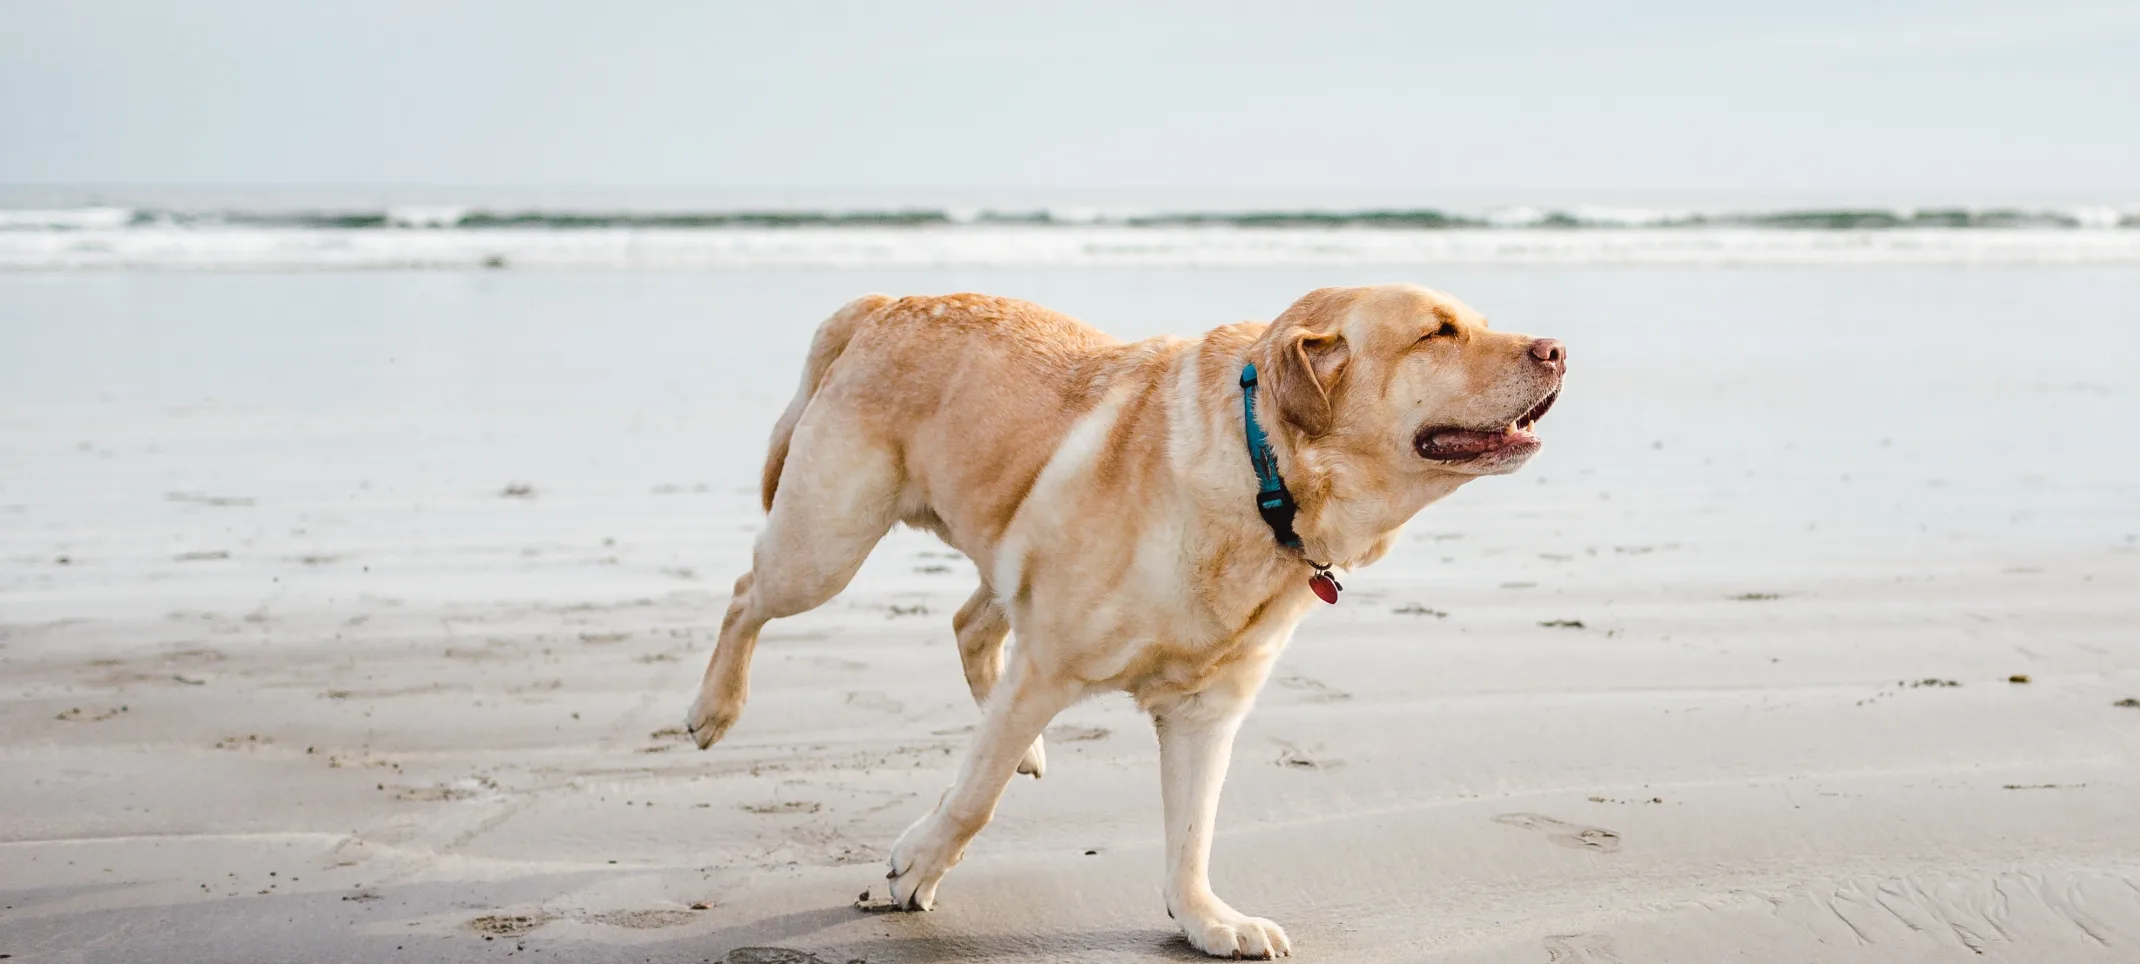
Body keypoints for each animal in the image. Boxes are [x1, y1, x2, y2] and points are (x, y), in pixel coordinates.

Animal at [693, 284, 1566, 955]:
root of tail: (882, 303)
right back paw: (714, 708)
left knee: (971, 626)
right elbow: (974, 799)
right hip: (825, 545)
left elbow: (1193, 834)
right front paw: (918, 866)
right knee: (745, 593)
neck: (1262, 476)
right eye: (1438, 333)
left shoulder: (1207, 711)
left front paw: (1206, 920)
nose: (1557, 349)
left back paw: (1024, 748)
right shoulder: (1049, 666)